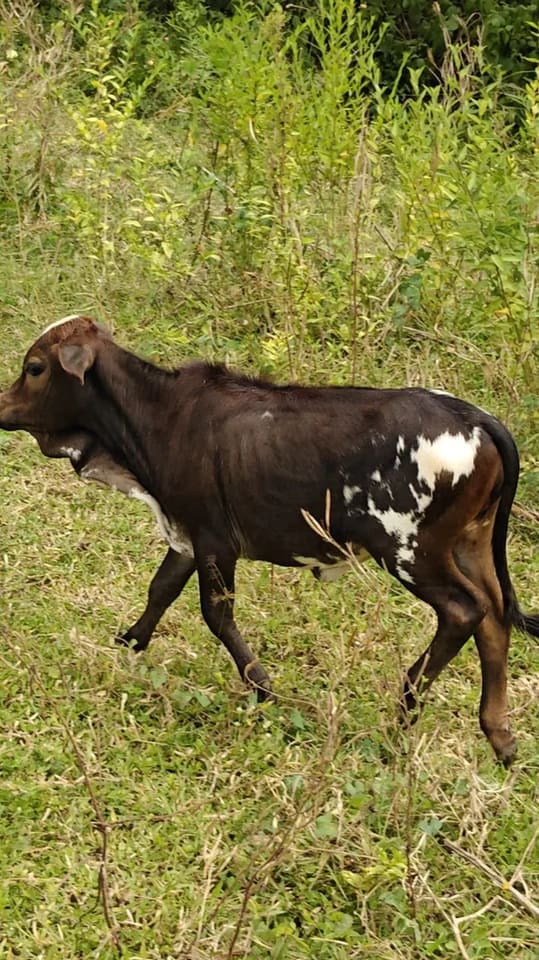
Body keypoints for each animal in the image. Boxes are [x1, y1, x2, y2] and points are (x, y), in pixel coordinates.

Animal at [0, 315, 537, 765]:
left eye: (34, 367)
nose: (2, 408)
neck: (159, 416)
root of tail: (475, 419)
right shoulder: (188, 535)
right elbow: (161, 590)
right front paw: (131, 642)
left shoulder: (213, 538)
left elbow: (215, 614)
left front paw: (265, 689)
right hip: (470, 543)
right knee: (494, 617)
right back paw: (499, 738)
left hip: (409, 550)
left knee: (465, 611)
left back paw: (404, 712)